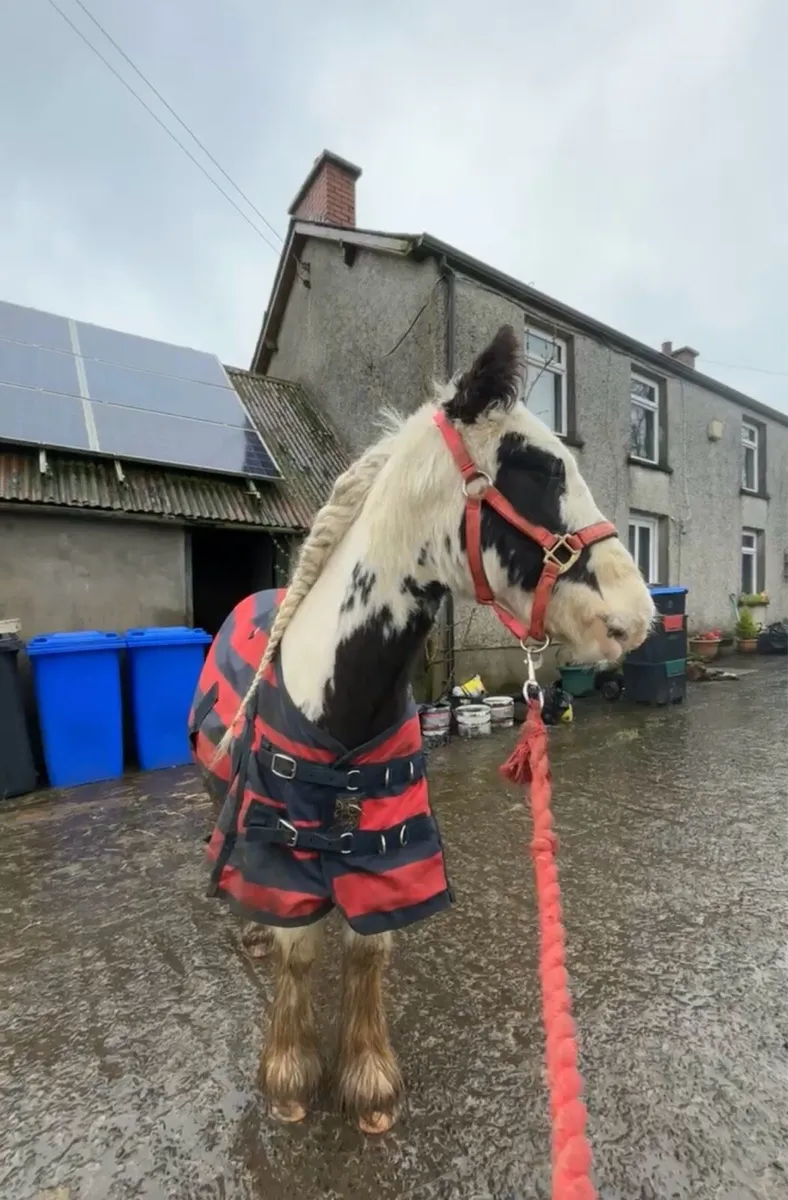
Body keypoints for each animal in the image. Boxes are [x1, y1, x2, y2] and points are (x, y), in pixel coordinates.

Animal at [192, 324, 655, 1136]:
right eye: (539, 470)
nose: (637, 617)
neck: (341, 699)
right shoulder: (279, 838)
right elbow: (298, 950)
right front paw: (289, 1077)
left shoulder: (392, 843)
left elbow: (368, 950)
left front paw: (369, 1083)